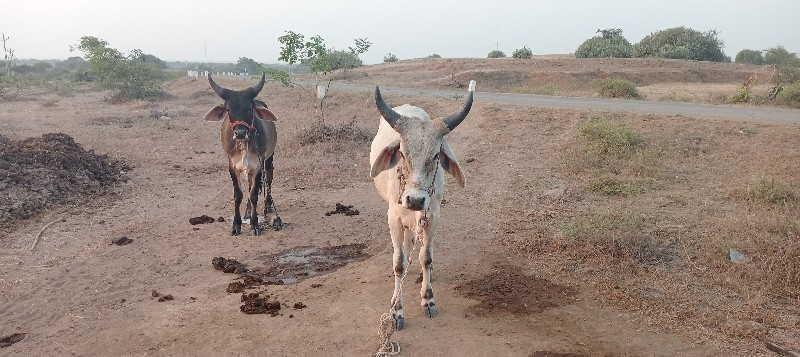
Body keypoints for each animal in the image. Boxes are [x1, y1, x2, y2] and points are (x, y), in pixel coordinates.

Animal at [370, 85, 476, 328]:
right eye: (401, 152)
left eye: (436, 155)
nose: (415, 200)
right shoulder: (393, 218)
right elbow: (398, 263)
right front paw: (397, 310)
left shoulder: (433, 216)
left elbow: (426, 257)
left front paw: (428, 299)